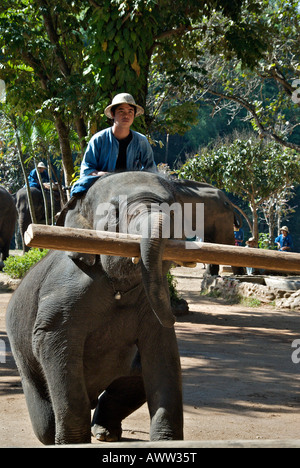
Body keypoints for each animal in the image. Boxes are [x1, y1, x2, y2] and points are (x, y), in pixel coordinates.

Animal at [6, 170, 241, 444]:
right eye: (115, 213)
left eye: (174, 210)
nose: (177, 312)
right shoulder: (62, 296)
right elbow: (54, 346)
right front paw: (72, 443)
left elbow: (164, 354)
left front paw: (166, 441)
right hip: (24, 362)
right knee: (44, 421)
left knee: (134, 382)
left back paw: (105, 433)